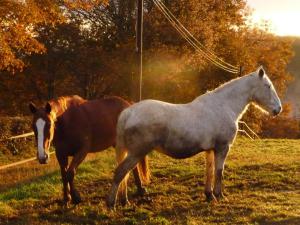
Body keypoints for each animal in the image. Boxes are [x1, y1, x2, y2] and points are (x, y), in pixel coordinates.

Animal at [106, 66, 282, 207]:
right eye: (268, 86)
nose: (278, 109)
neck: (223, 106)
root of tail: (128, 112)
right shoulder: (222, 148)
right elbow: (219, 171)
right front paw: (219, 195)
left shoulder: (210, 150)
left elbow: (209, 171)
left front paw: (209, 195)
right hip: (136, 153)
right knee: (120, 173)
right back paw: (111, 203)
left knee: (125, 174)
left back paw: (123, 201)